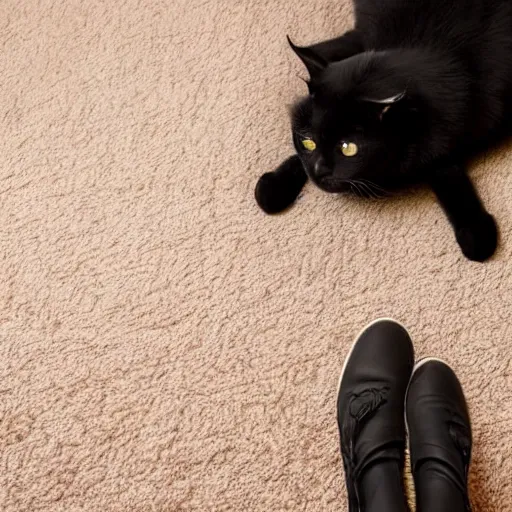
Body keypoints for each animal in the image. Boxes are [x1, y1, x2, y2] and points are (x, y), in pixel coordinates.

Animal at [255, 0, 512, 262]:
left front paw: (476, 232)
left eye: (348, 148)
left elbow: (445, 168)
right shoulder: (357, 37)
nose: (319, 171)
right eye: (308, 141)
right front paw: (273, 187)